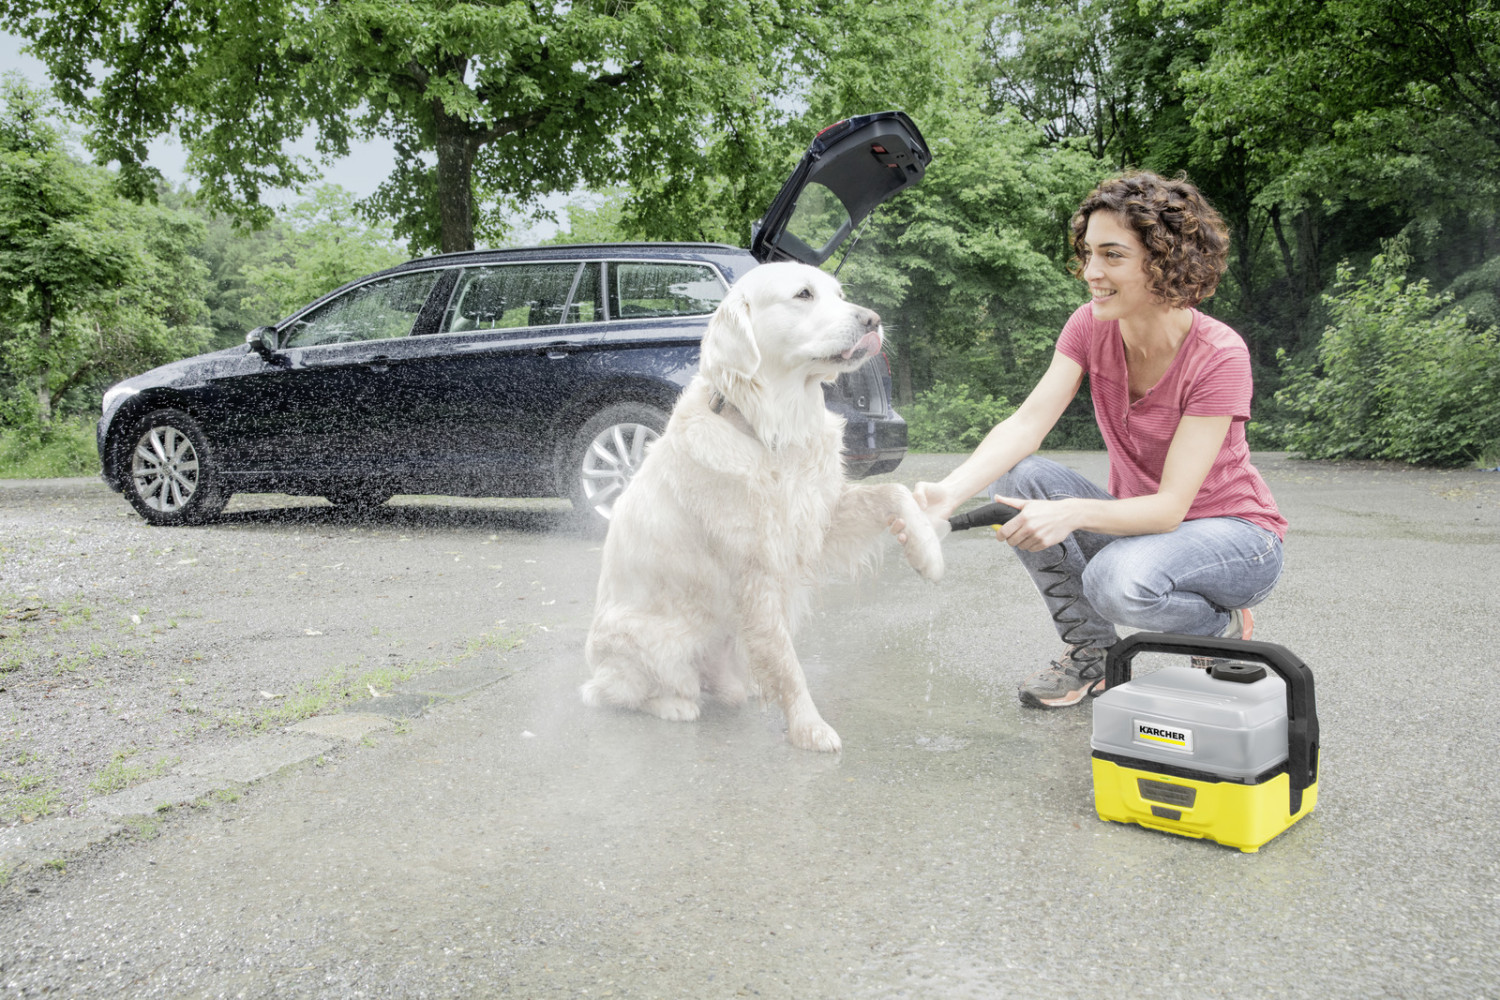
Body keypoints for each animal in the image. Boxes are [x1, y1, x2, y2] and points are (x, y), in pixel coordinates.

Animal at [579, 257, 942, 749]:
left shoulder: (819, 518)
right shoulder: (758, 569)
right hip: (655, 642)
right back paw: (674, 705)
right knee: (615, 693)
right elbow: (788, 663)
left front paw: (927, 553)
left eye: (839, 294)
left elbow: (895, 492)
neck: (770, 429)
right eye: (803, 295)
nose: (874, 321)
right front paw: (809, 727)